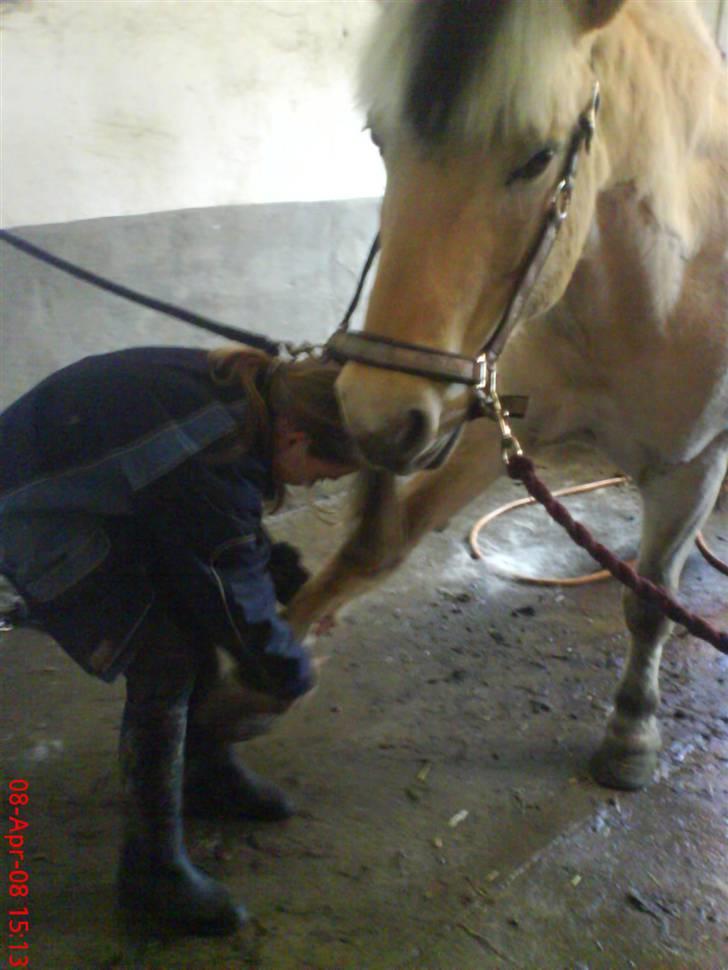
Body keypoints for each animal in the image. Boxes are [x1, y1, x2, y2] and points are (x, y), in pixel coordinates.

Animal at [288, 0, 724, 788]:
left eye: (538, 158)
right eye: (380, 140)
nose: (374, 418)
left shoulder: (693, 465)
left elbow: (652, 604)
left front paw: (631, 732)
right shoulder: (493, 425)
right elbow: (376, 546)